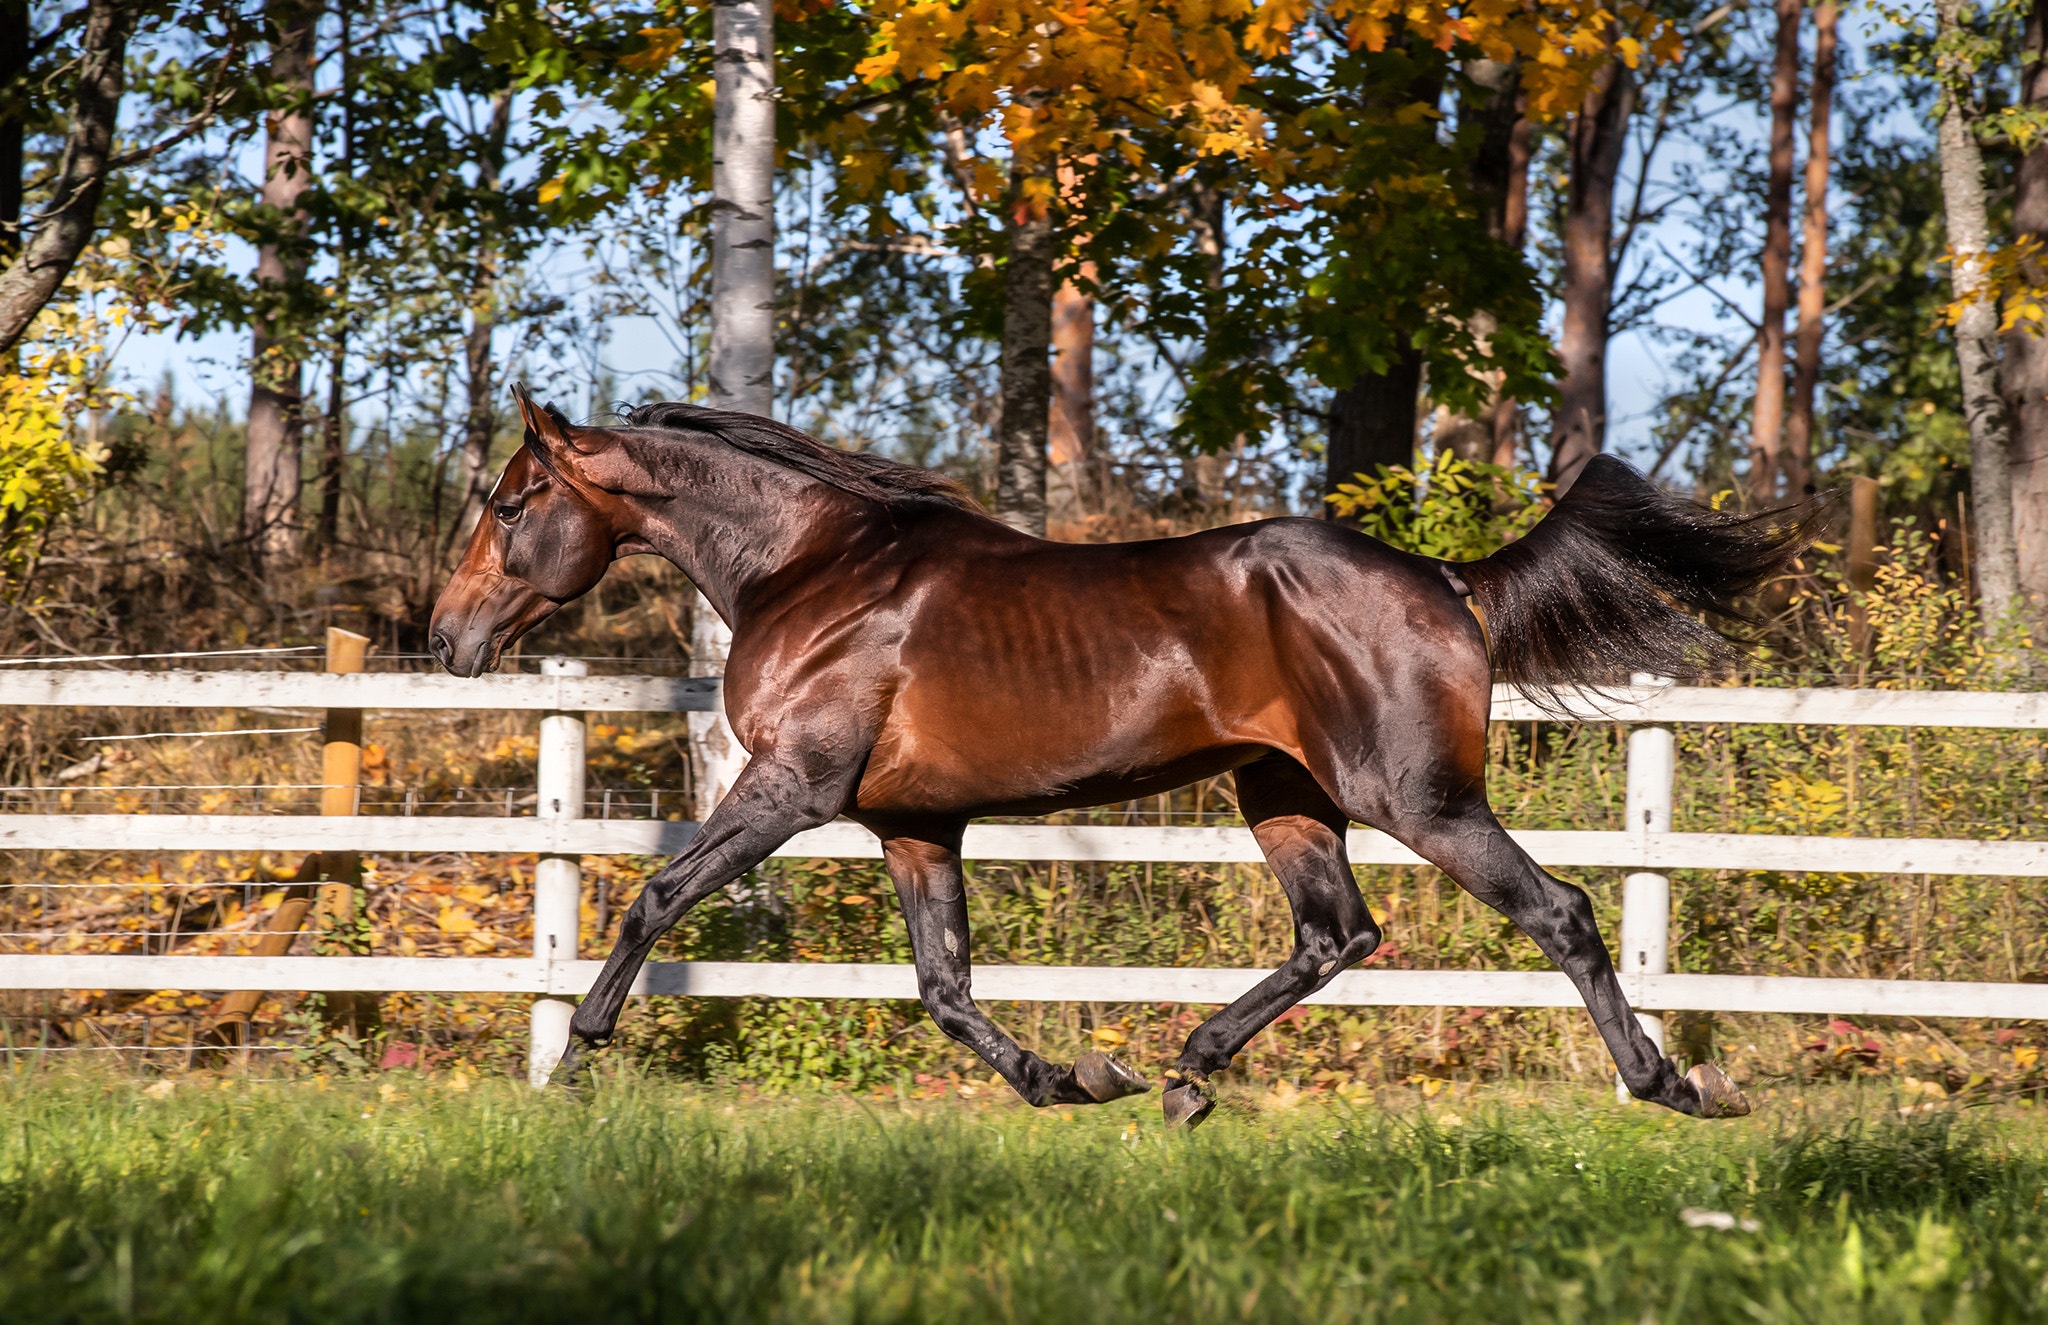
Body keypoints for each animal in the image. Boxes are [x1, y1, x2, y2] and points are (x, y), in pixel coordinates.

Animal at [430, 386, 1823, 1126]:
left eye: (510, 501)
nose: (448, 637)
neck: (812, 568)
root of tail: (1438, 577)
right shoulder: (912, 823)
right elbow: (943, 983)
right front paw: (1068, 1075)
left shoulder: (793, 784)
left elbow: (658, 892)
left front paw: (574, 1055)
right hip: (1284, 794)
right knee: (1337, 932)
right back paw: (1186, 1074)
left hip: (1415, 795)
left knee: (1559, 908)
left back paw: (1672, 1082)